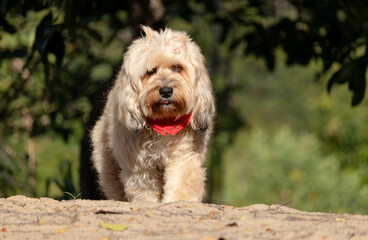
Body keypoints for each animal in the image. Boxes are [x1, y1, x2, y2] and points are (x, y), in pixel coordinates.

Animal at [90, 25, 214, 202]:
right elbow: (145, 191)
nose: (166, 91)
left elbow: (181, 182)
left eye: (177, 67)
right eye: (150, 71)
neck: (165, 122)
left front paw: (177, 201)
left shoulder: (184, 157)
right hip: (108, 164)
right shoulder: (140, 166)